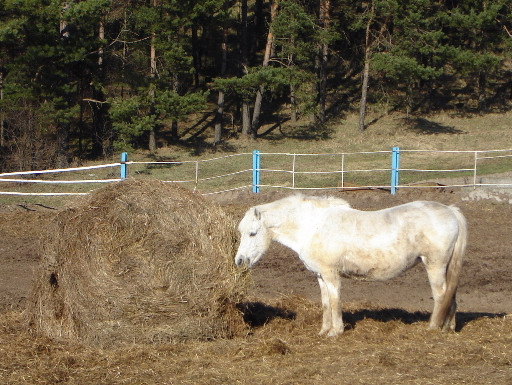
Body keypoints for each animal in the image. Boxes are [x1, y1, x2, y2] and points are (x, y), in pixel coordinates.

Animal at [236, 194, 468, 334]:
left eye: (252, 233)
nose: (239, 261)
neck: (312, 225)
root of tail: (450, 210)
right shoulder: (320, 276)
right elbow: (326, 303)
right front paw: (324, 331)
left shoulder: (331, 274)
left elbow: (335, 301)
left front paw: (335, 331)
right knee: (451, 295)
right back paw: (449, 327)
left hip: (434, 265)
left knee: (441, 295)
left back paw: (433, 327)